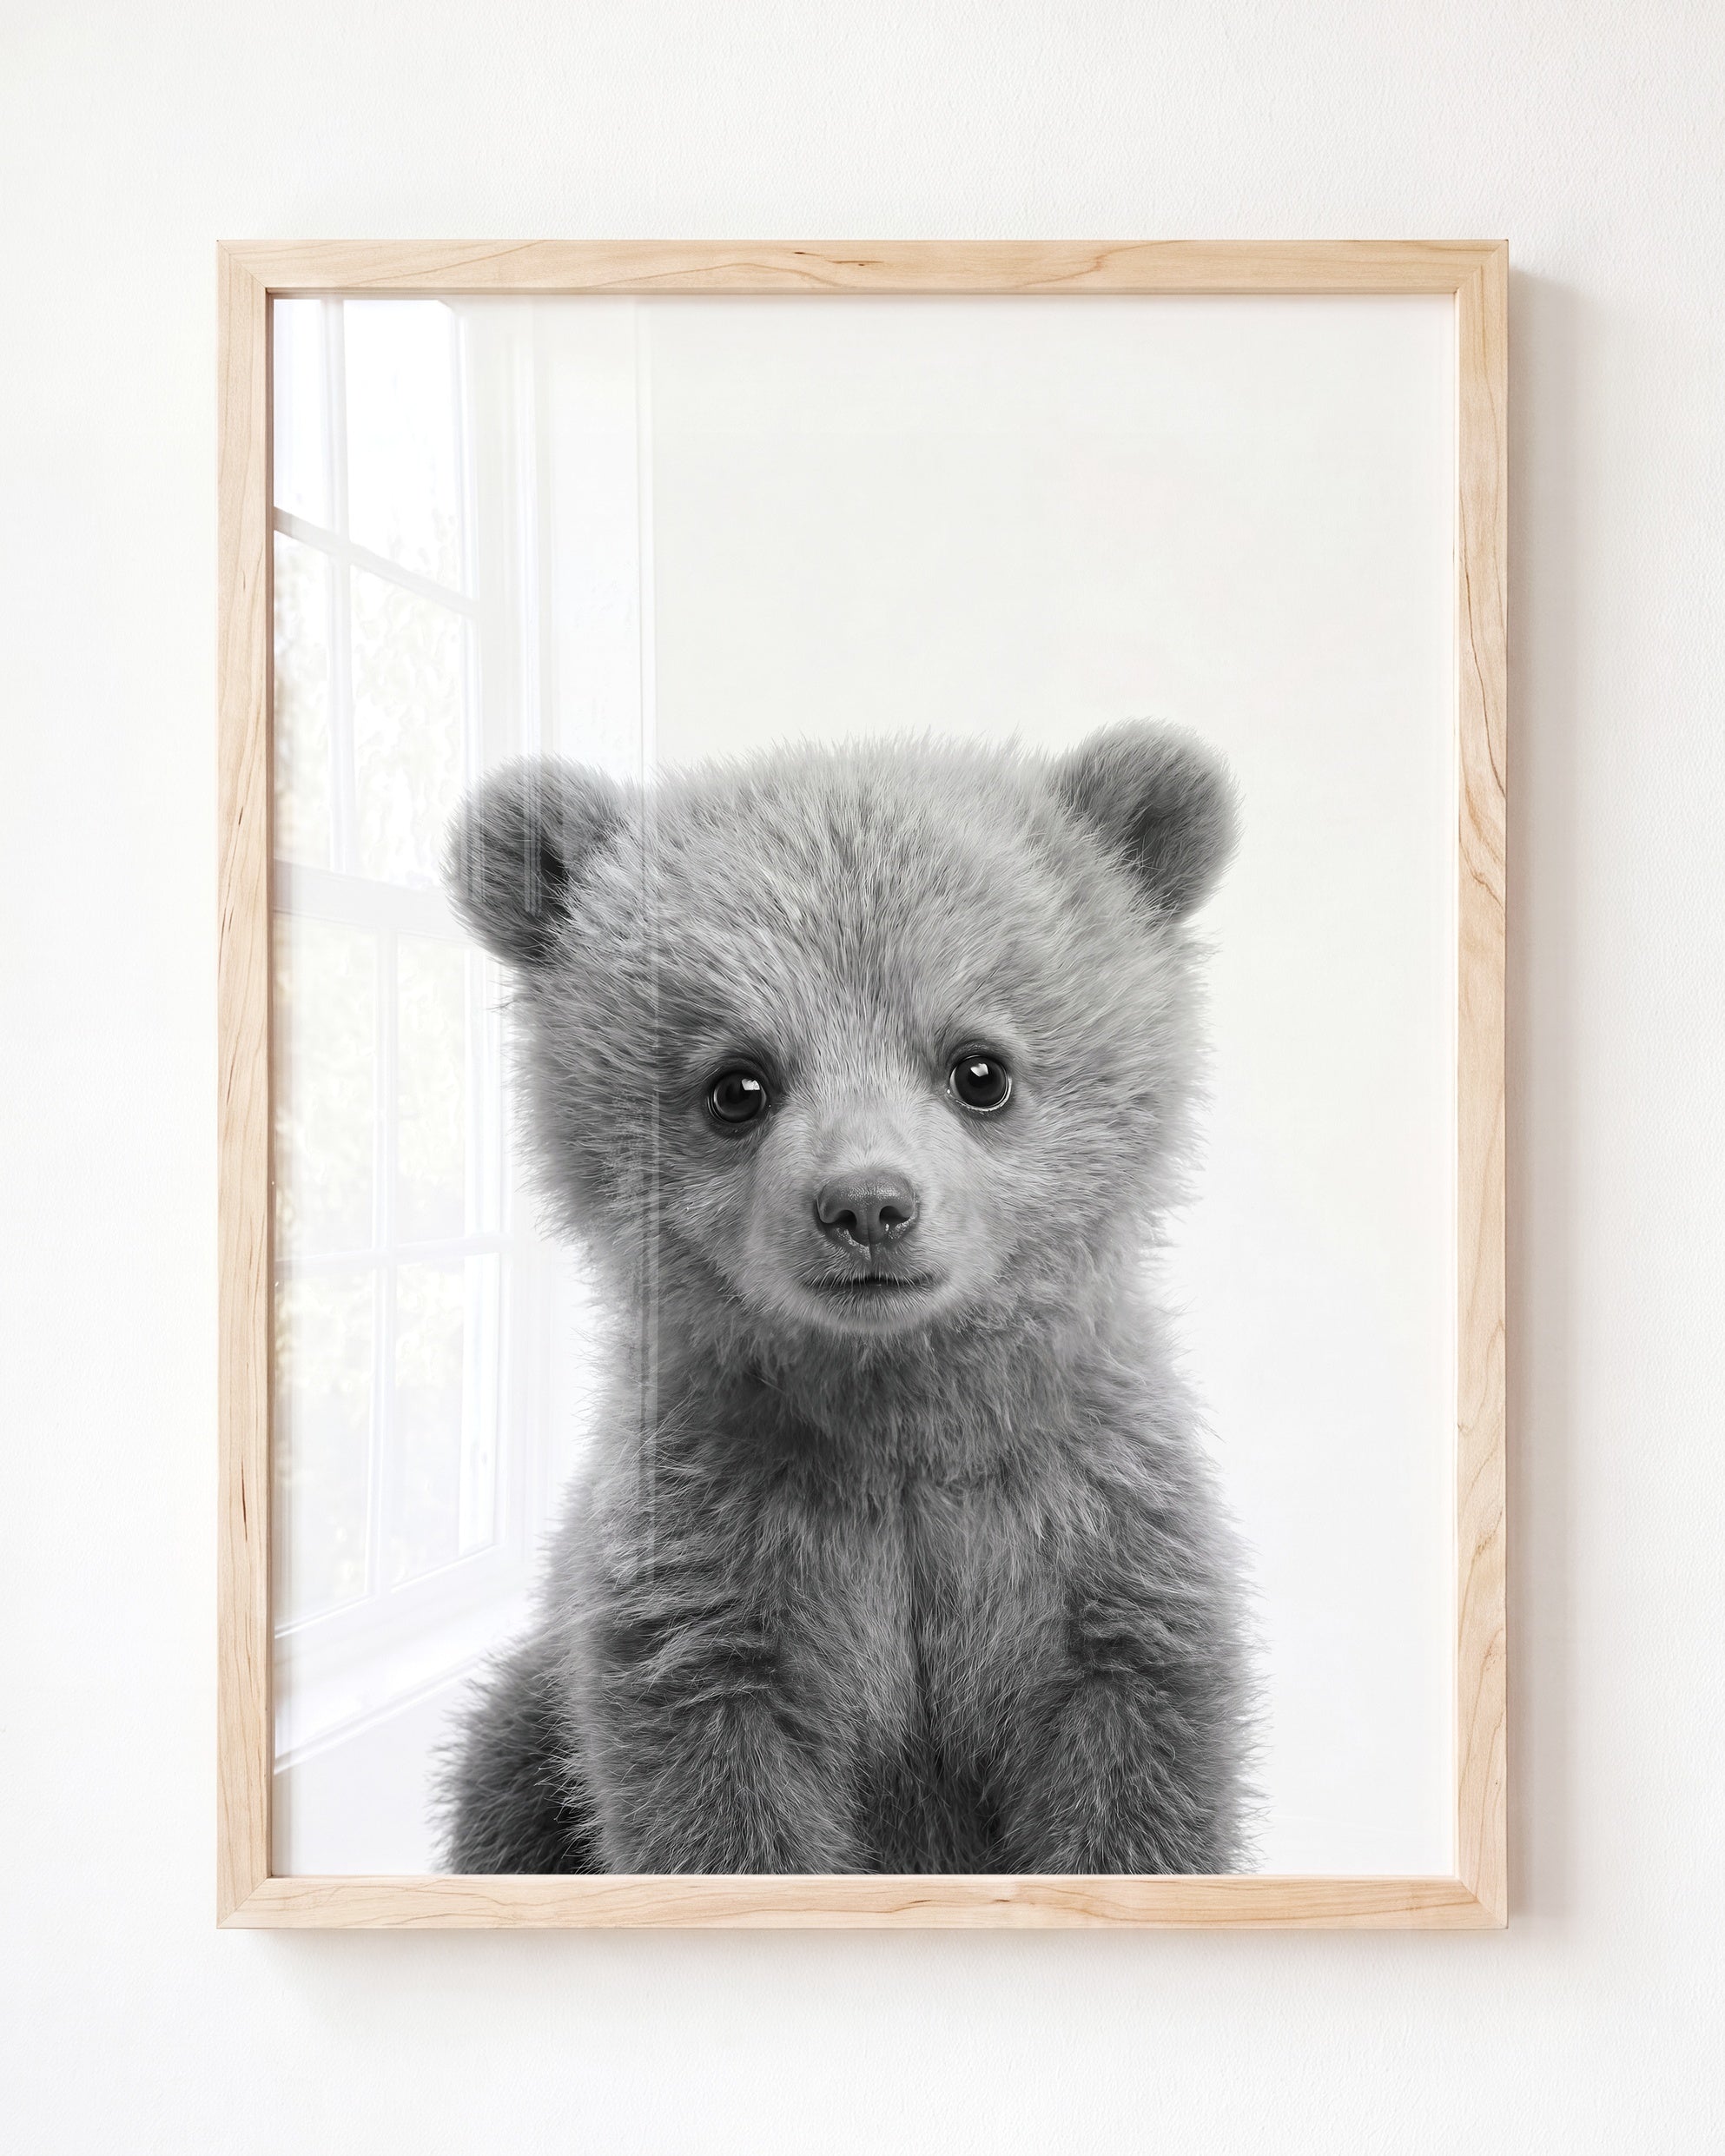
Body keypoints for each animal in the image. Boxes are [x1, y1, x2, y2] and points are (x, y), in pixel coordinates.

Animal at [437, 721, 1255, 1875]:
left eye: (980, 1068)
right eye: (737, 1084)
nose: (868, 1205)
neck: (895, 1416)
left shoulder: (1094, 1551)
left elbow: (1136, 1791)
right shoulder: (711, 1584)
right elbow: (719, 1809)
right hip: (527, 1731)